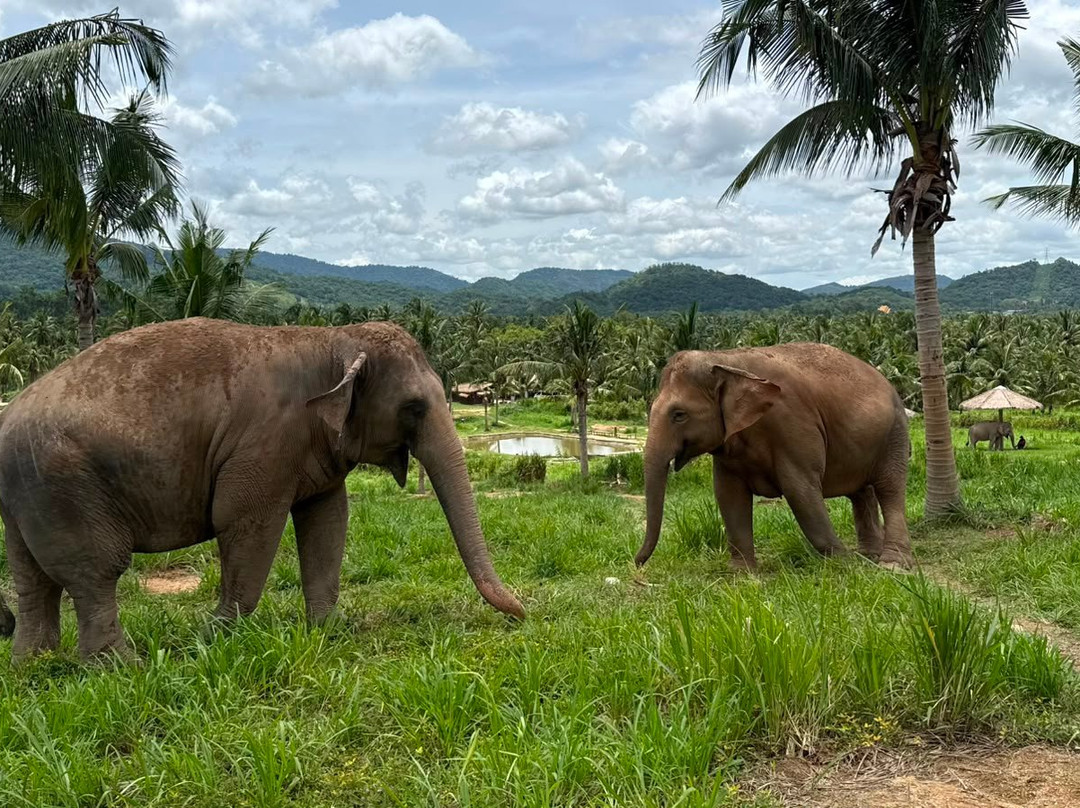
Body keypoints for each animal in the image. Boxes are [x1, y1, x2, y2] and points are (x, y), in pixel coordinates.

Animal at [0, 317, 523, 661]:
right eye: (414, 407)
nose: (523, 615)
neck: (330, 337)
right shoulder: (264, 447)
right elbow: (246, 520)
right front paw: (214, 639)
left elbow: (328, 520)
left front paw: (329, 632)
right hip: (65, 485)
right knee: (95, 572)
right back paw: (121, 669)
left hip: (28, 495)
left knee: (33, 576)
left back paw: (35, 665)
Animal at [637, 343, 914, 571]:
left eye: (679, 415)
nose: (637, 563)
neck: (725, 359)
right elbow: (728, 495)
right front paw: (742, 574)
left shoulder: (793, 425)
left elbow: (800, 492)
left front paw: (844, 563)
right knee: (862, 492)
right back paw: (869, 556)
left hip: (895, 434)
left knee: (889, 489)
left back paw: (892, 564)